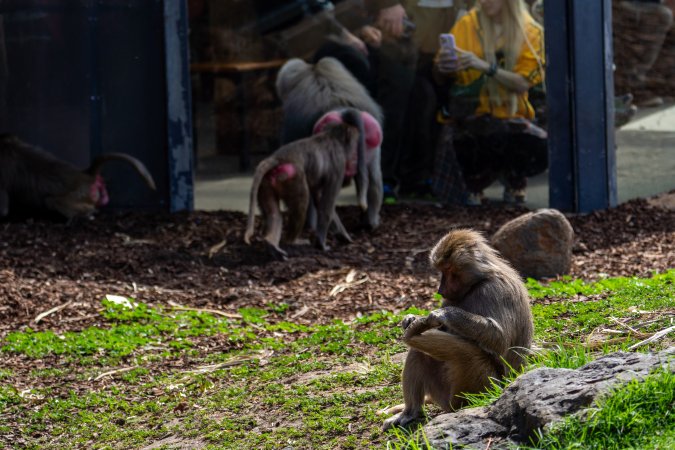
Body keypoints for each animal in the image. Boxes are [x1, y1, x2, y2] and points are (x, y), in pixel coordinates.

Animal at [244, 109, 362, 259]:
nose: (355, 156)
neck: (331, 136)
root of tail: (277, 159)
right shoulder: (339, 164)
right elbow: (326, 206)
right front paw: (322, 244)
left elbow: (320, 199)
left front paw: (343, 235)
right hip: (293, 177)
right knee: (301, 206)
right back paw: (291, 241)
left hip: (266, 183)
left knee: (274, 214)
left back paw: (271, 243)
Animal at [382, 229, 534, 430]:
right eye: (441, 271)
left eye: (448, 270)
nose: (440, 290)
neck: (479, 281)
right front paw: (411, 319)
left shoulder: (496, 290)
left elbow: (499, 340)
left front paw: (442, 314)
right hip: (444, 392)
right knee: (419, 353)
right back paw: (410, 413)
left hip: (481, 384)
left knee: (462, 353)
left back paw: (412, 335)